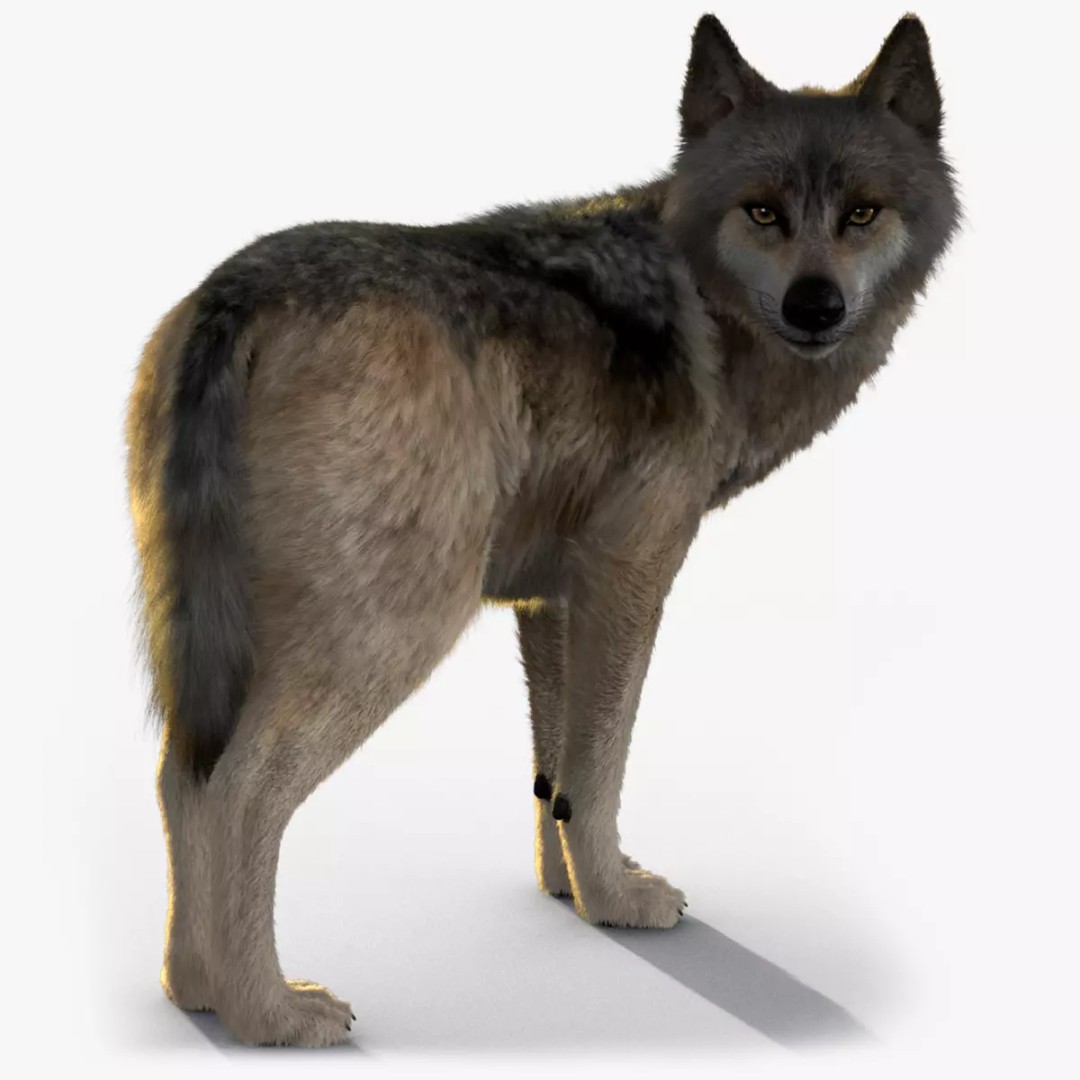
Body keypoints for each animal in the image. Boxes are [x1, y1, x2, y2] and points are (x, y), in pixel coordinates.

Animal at [125, 13, 959, 1046]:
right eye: (764, 212)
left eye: (862, 213)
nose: (817, 304)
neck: (702, 299)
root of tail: (236, 294)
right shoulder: (628, 576)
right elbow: (600, 767)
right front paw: (619, 906)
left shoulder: (547, 598)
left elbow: (554, 780)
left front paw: (575, 897)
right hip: (392, 633)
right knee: (236, 791)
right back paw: (268, 1013)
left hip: (225, 647)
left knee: (177, 776)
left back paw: (192, 988)